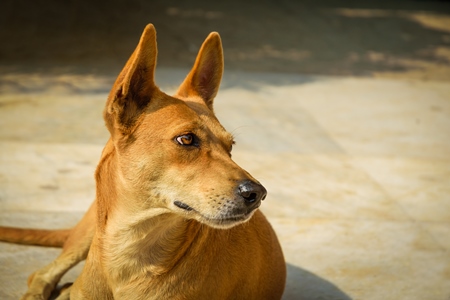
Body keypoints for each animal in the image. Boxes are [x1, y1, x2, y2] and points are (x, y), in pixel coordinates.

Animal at [0, 24, 286, 300]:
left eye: (230, 147)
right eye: (186, 139)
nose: (257, 194)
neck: (129, 251)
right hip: (87, 233)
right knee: (41, 274)